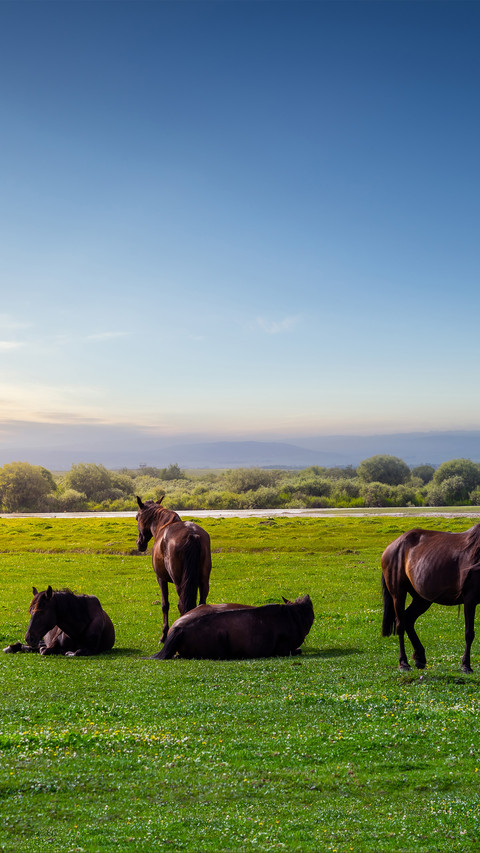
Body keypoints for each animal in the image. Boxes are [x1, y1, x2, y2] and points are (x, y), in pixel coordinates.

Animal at [136, 495, 212, 642]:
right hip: (204, 580)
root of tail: (192, 534)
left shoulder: (160, 578)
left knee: (181, 605)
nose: (139, 544)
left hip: (179, 582)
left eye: (137, 517)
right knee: (201, 603)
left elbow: (165, 605)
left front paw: (163, 635)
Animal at [381, 523, 480, 672]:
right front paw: (466, 665)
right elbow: (469, 633)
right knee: (400, 624)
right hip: (398, 595)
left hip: (422, 599)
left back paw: (420, 657)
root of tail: (392, 546)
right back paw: (403, 662)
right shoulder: (470, 600)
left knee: (409, 620)